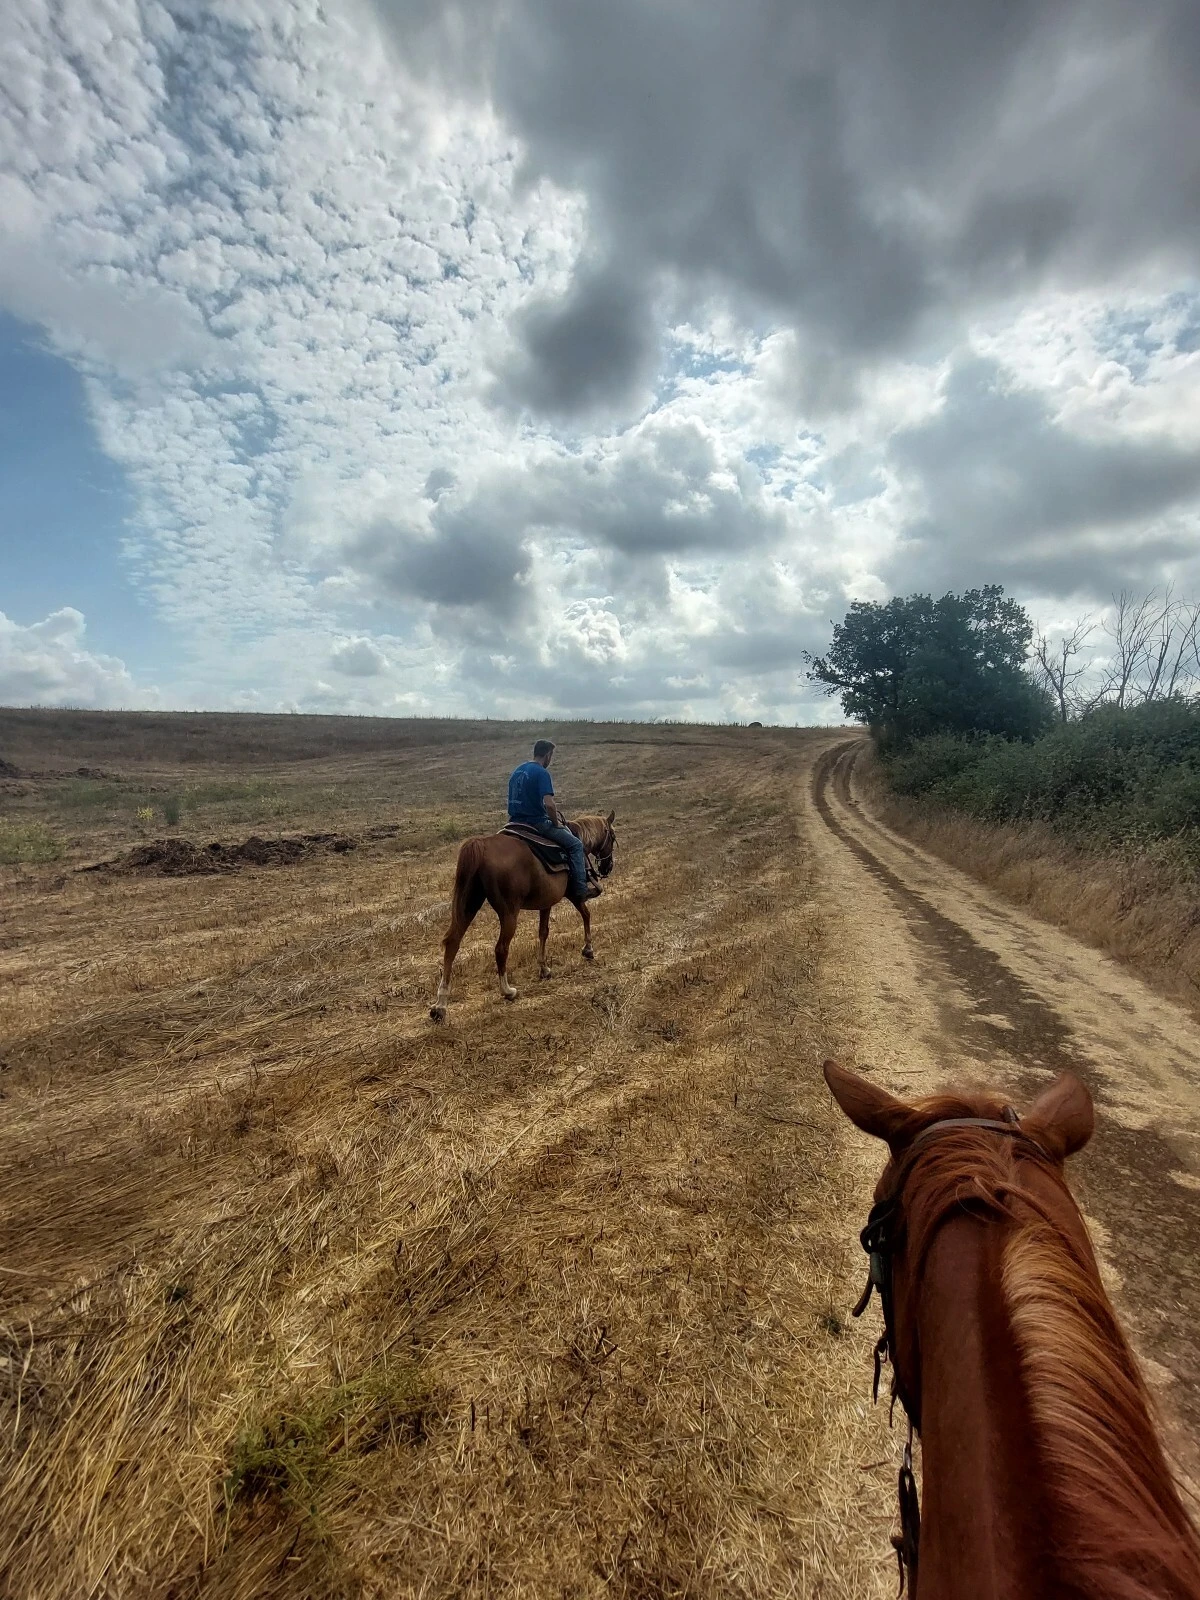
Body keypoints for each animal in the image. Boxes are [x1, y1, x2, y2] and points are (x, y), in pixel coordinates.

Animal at [429, 812, 616, 1022]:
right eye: (613, 837)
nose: (607, 866)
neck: (578, 839)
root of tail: (481, 846)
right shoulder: (574, 894)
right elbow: (586, 914)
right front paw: (588, 949)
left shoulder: (546, 902)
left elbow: (543, 932)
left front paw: (544, 969)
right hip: (509, 913)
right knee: (501, 948)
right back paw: (507, 991)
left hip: (467, 905)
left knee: (452, 942)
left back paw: (440, 1005)